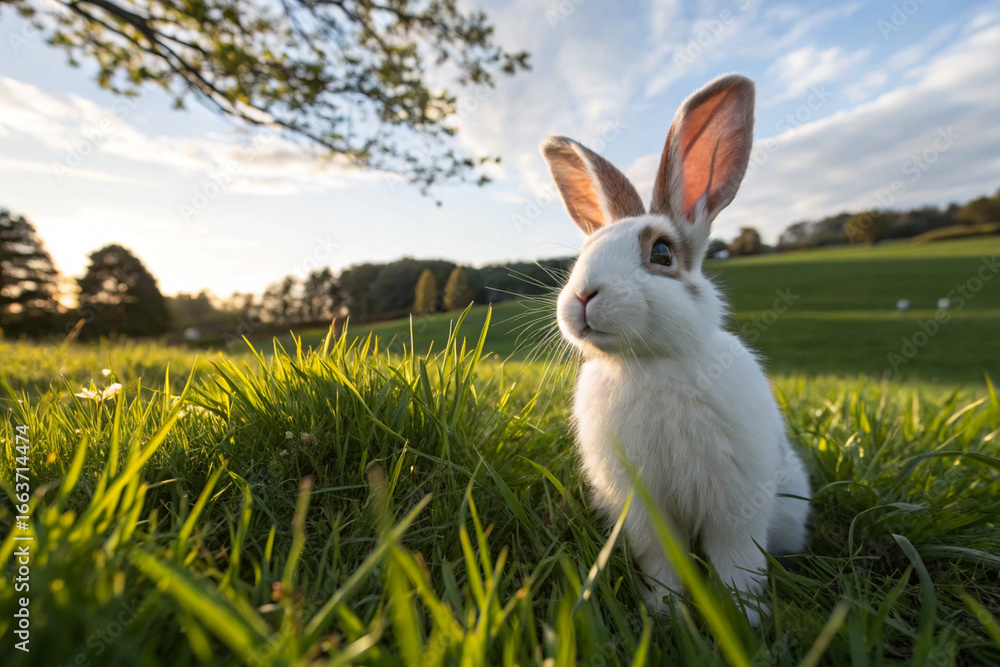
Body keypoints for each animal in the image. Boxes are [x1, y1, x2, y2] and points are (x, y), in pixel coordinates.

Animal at [540, 73, 811, 627]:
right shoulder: (643, 512)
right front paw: (666, 612)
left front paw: (743, 617)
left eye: (661, 253)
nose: (582, 297)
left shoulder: (736, 503)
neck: (648, 364)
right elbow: (662, 561)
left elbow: (737, 560)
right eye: (584, 254)